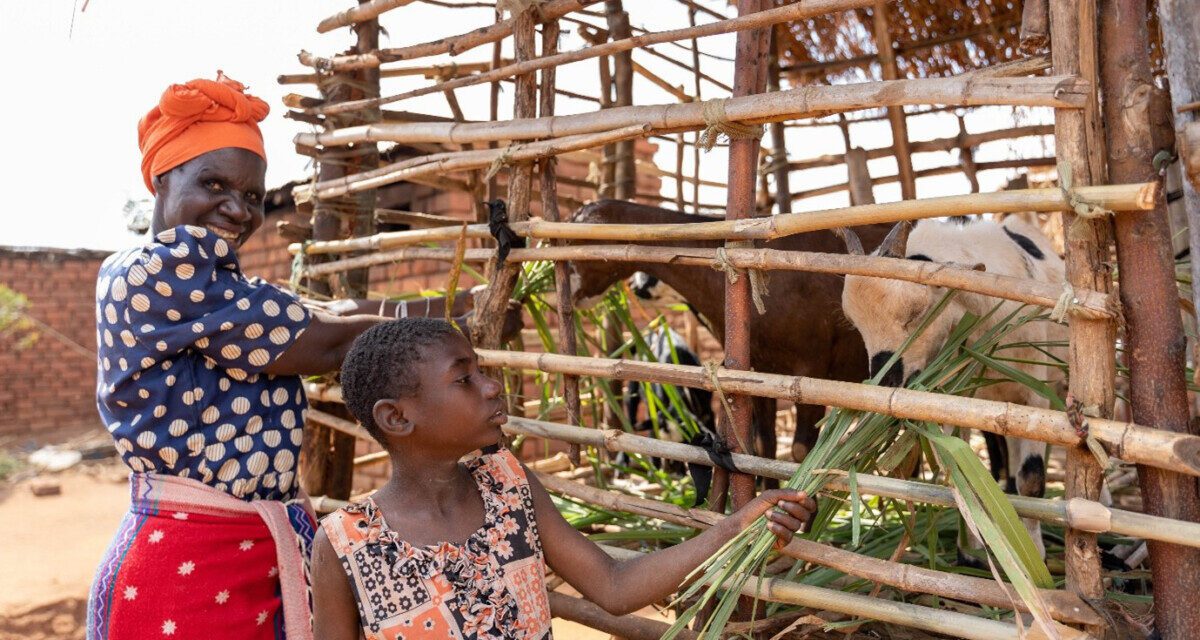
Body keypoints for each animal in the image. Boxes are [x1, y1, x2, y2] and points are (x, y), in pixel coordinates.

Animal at [566, 196, 897, 461]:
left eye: (575, 238)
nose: (569, 289)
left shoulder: (812, 369)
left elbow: (801, 450)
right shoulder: (759, 370)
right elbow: (763, 446)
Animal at [840, 217, 1065, 557]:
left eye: (917, 313)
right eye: (856, 326)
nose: (887, 382)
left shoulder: (1036, 395)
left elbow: (1033, 478)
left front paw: (1035, 554)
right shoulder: (955, 401)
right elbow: (961, 474)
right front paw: (971, 551)